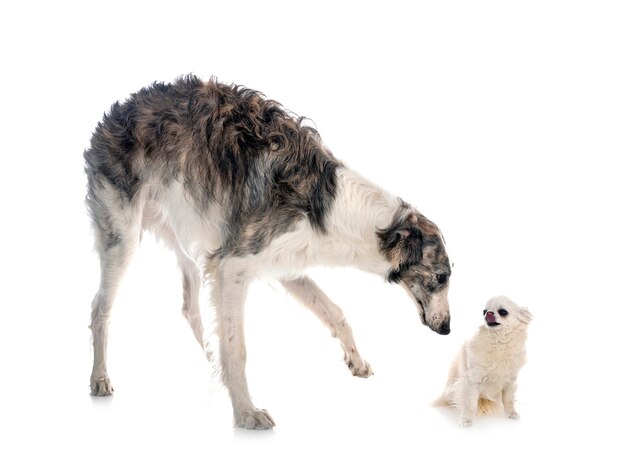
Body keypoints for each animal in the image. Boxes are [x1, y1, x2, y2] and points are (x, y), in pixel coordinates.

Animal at [85, 75, 450, 428]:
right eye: (441, 277)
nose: (447, 329)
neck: (328, 204)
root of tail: (116, 111)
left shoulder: (286, 266)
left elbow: (336, 313)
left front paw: (356, 361)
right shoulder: (232, 267)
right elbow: (237, 349)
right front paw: (246, 413)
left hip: (186, 241)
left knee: (190, 309)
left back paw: (208, 361)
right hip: (123, 237)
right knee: (100, 308)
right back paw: (99, 379)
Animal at [434, 296, 532, 428]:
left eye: (503, 312)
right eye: (484, 311)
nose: (488, 313)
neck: (499, 342)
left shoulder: (510, 382)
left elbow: (509, 400)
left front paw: (511, 413)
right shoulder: (472, 382)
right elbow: (469, 404)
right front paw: (466, 419)